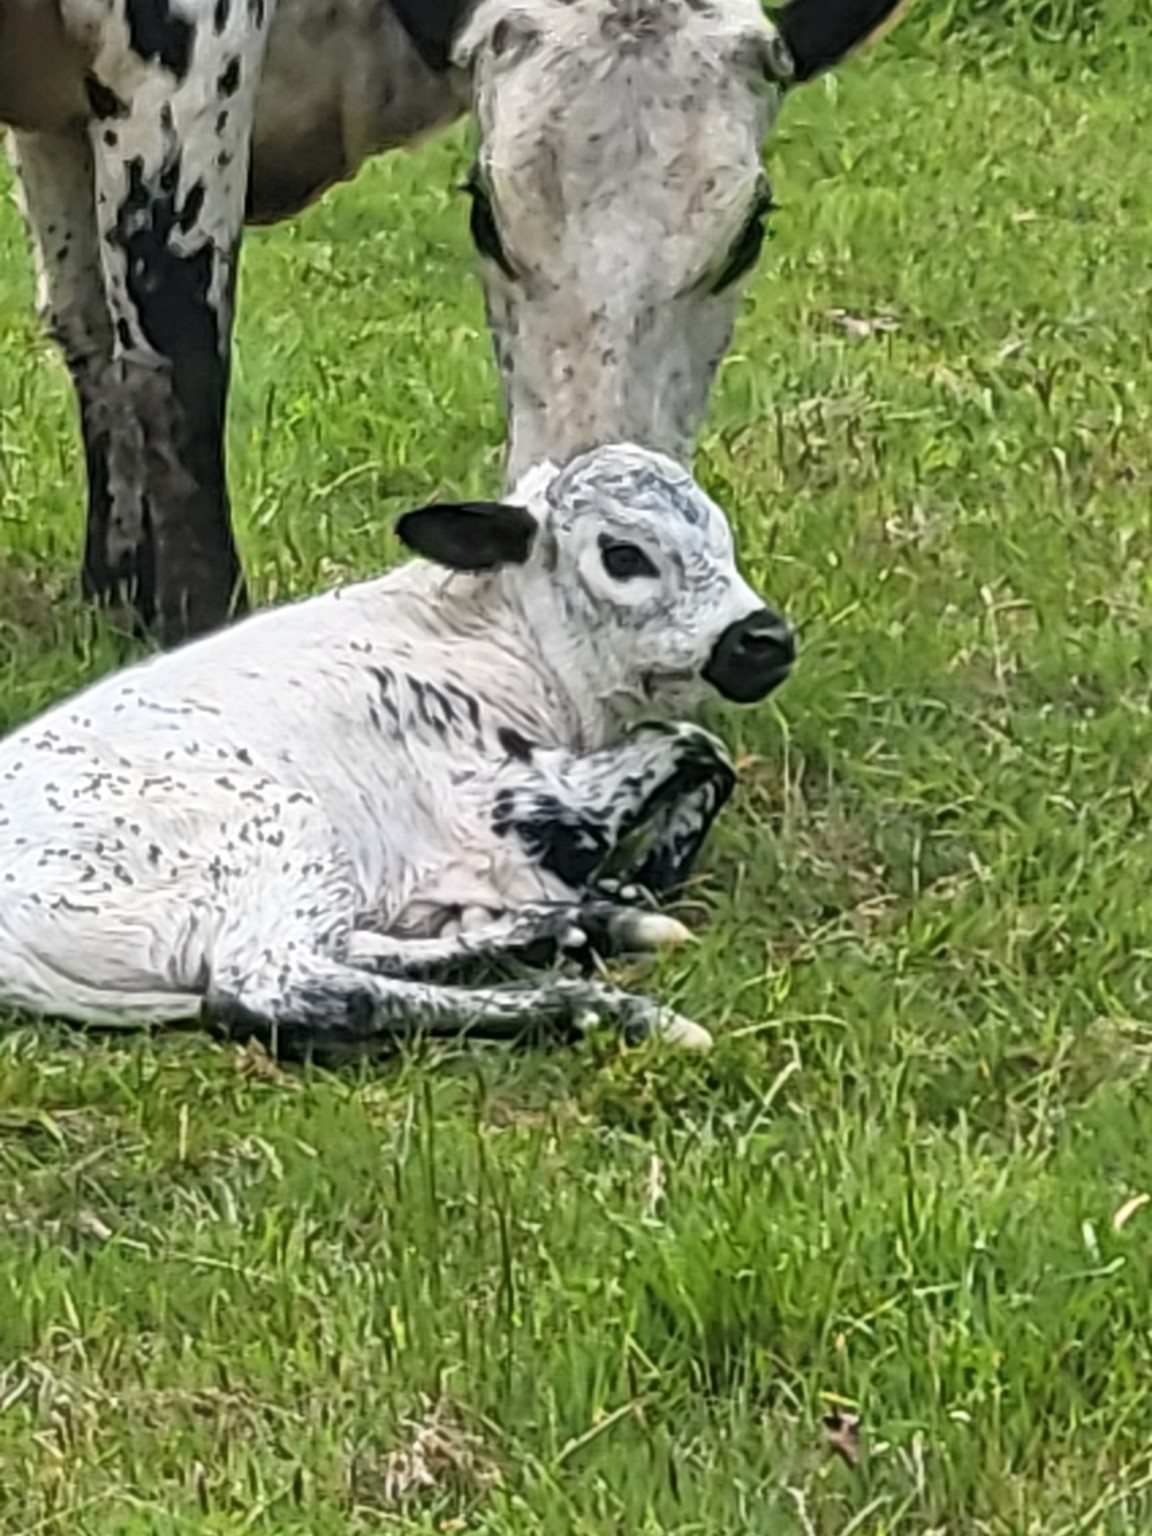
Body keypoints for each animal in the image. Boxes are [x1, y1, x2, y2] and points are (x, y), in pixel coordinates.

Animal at [0, 444, 795, 1057]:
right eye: (624, 555)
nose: (767, 639)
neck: (501, 638)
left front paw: (627, 893)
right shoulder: (513, 803)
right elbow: (694, 745)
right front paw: (644, 879)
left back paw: (580, 928)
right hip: (282, 831)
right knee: (268, 986)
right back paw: (603, 1004)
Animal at [2, 0, 905, 645]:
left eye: (747, 236)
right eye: (485, 218)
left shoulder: (63, 113)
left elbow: (91, 334)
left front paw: (118, 593)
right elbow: (176, 350)